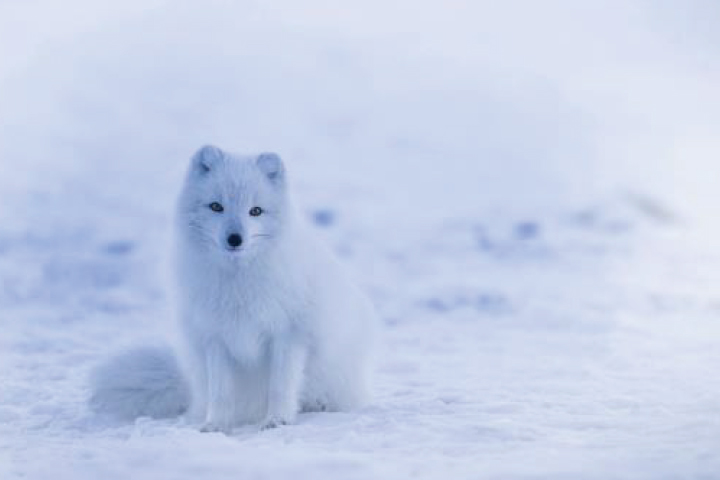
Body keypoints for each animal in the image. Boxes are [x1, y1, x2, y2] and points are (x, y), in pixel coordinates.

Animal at [90, 145, 376, 432]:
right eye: (216, 206)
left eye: (256, 211)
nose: (235, 239)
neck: (237, 282)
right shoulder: (215, 337)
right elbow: (221, 392)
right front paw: (215, 425)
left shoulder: (288, 334)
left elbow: (280, 386)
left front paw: (277, 420)